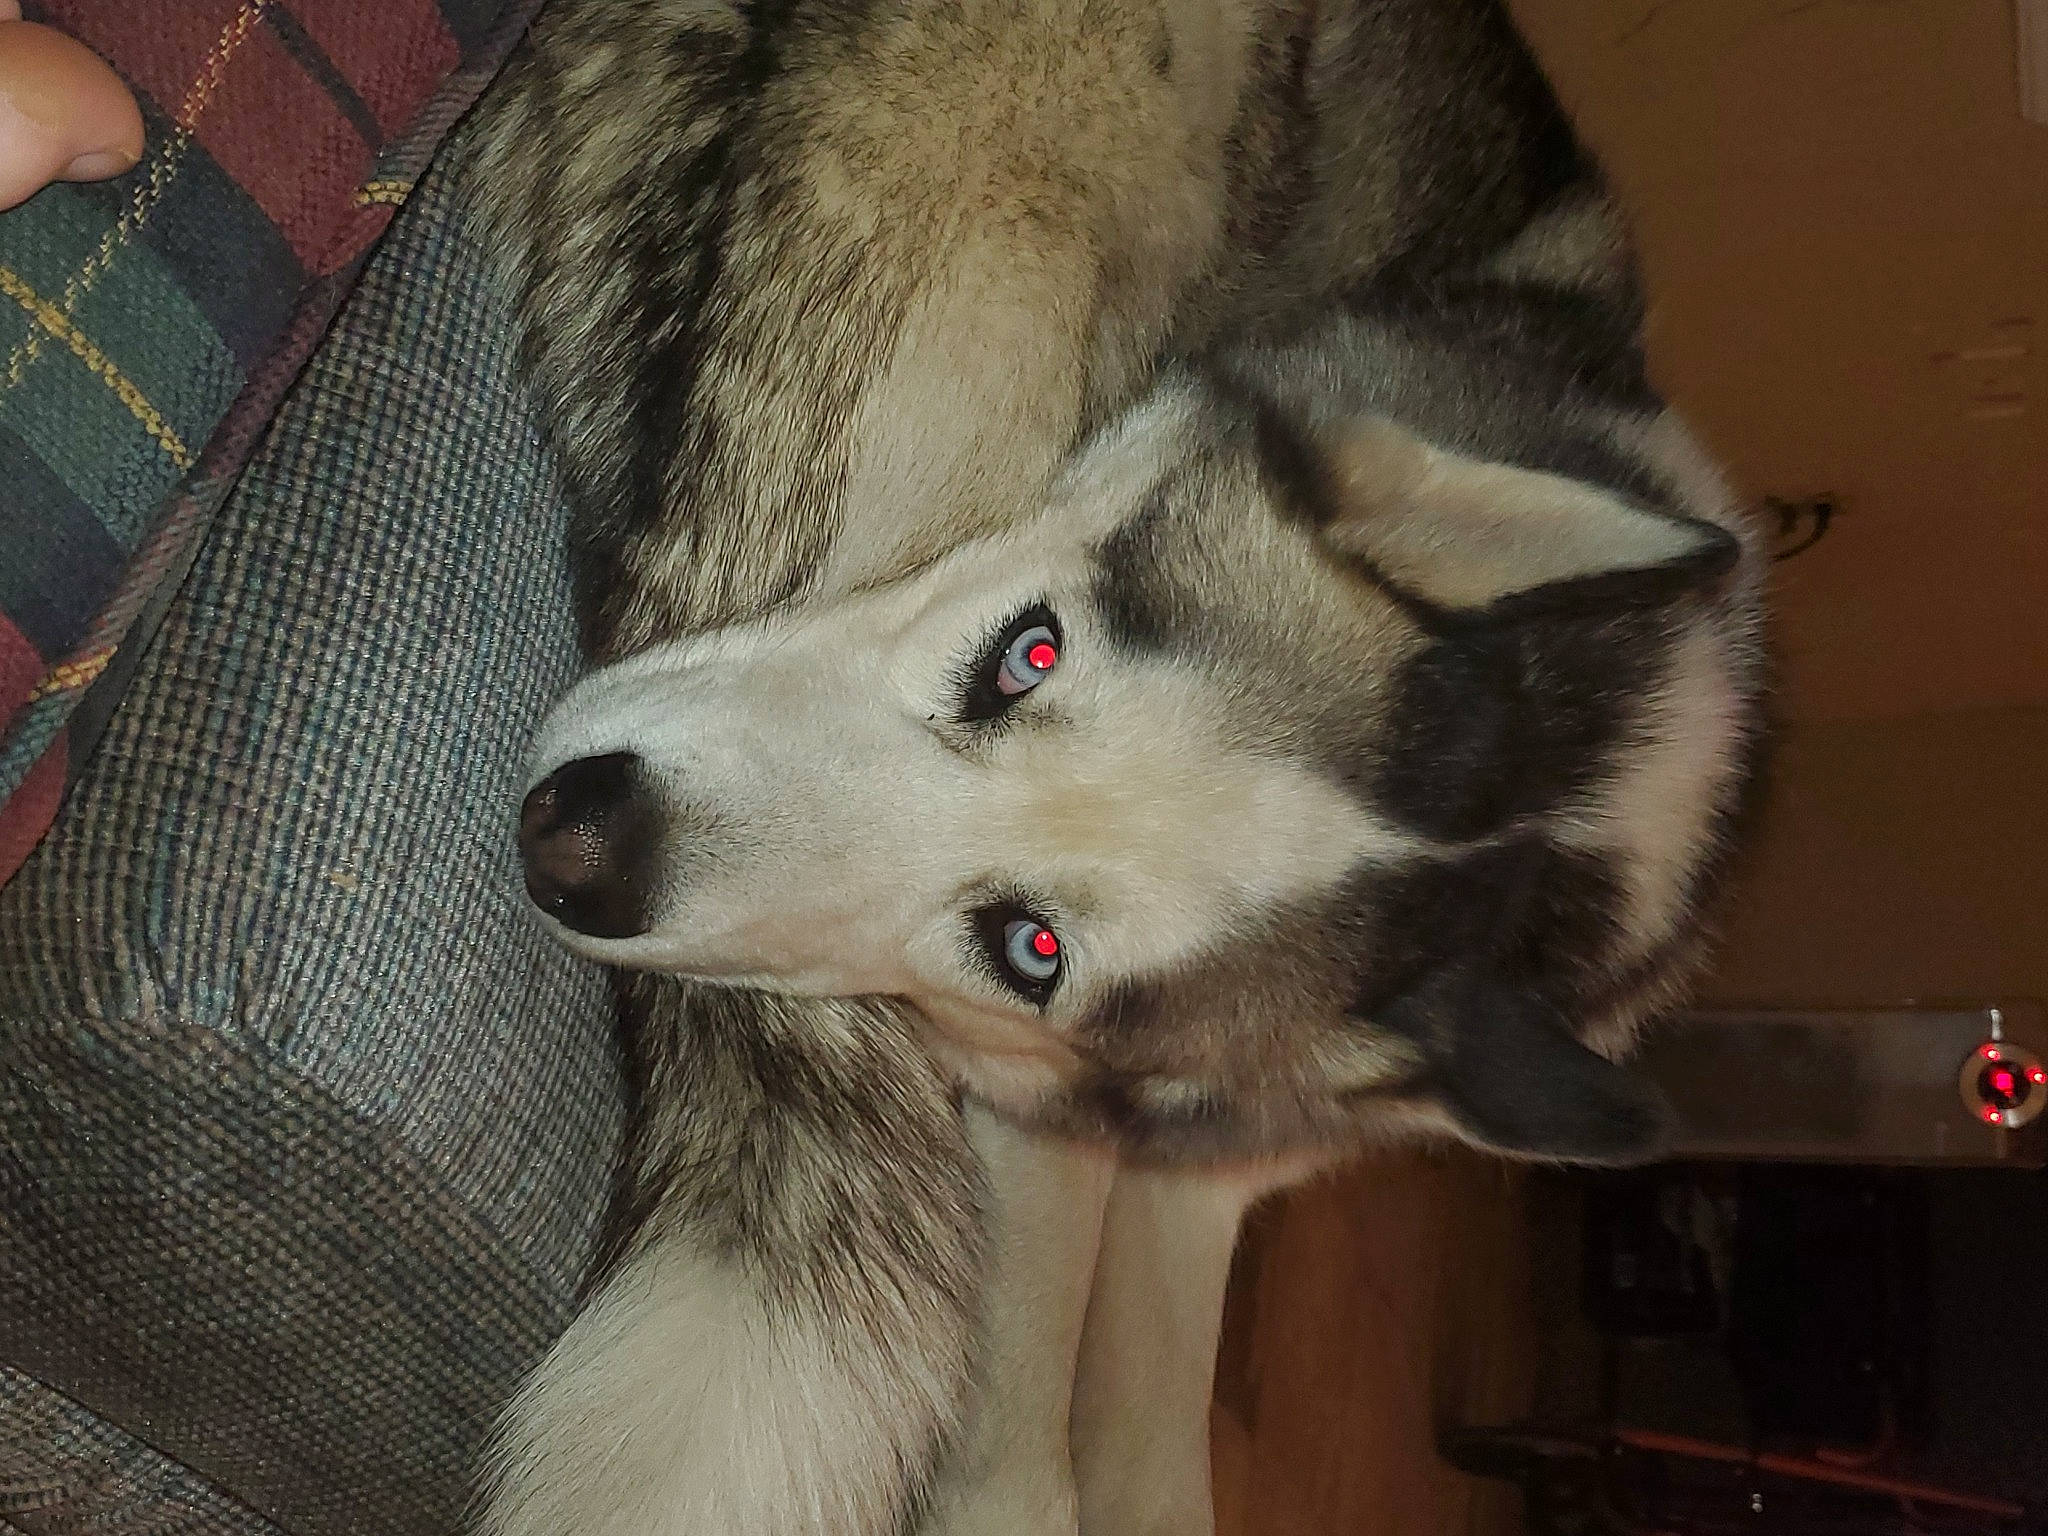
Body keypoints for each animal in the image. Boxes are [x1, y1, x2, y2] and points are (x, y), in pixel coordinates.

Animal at [465, 0, 1769, 1532]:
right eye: (1026, 653)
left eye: (1029, 949)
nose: (577, 842)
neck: (1589, 783)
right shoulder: (1041, 1155)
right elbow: (1028, 1453)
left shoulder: (1196, 1167)